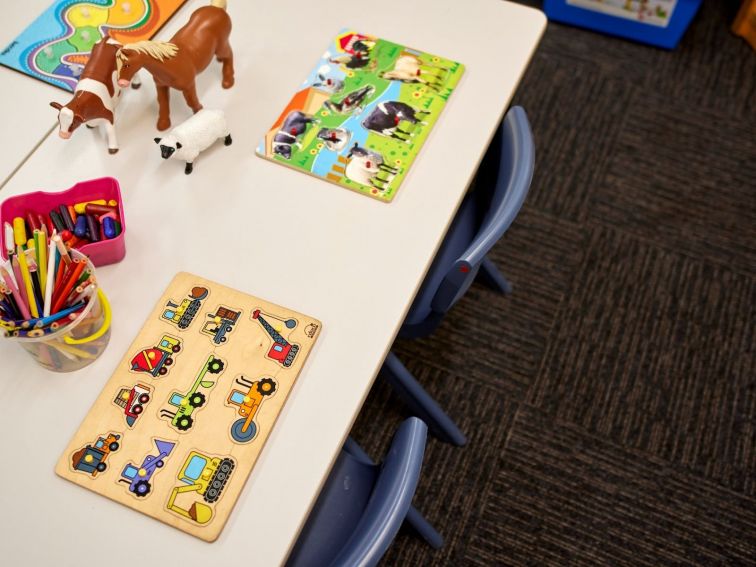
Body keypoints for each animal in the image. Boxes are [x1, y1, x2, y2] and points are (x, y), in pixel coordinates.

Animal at [115, 0, 232, 130]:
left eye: (127, 65)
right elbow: (163, 103)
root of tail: (216, 8)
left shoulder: (189, 85)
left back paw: (228, 80)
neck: (170, 63)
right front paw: (163, 123)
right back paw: (219, 61)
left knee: (229, 55)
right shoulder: (161, 85)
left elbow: (191, 101)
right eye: (117, 65)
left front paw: (199, 114)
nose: (121, 83)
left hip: (221, 46)